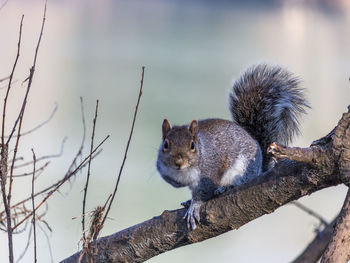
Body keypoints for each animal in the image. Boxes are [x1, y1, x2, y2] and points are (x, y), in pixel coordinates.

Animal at [156, 64, 308, 231]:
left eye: (192, 145)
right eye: (165, 144)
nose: (179, 162)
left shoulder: (209, 172)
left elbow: (203, 192)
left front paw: (194, 207)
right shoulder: (164, 170)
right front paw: (184, 193)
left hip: (242, 169)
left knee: (239, 182)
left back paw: (224, 188)